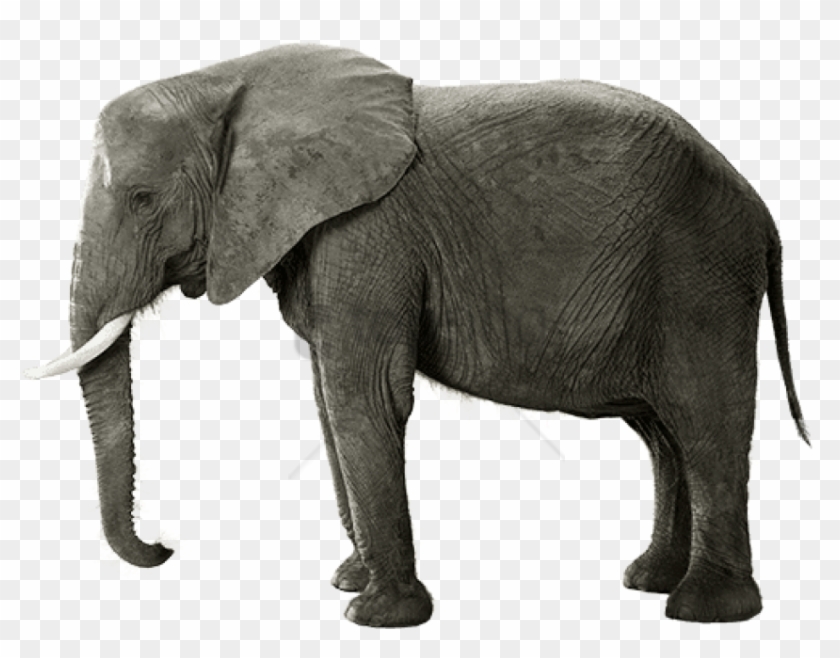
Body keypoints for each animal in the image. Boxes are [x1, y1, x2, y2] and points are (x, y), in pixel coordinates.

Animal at [25, 43, 808, 627]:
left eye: (141, 199)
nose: (164, 547)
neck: (229, 83)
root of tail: (761, 210)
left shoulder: (370, 235)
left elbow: (363, 398)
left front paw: (375, 616)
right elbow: (328, 404)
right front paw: (350, 581)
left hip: (699, 278)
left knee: (705, 423)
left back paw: (702, 610)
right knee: (663, 433)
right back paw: (649, 579)